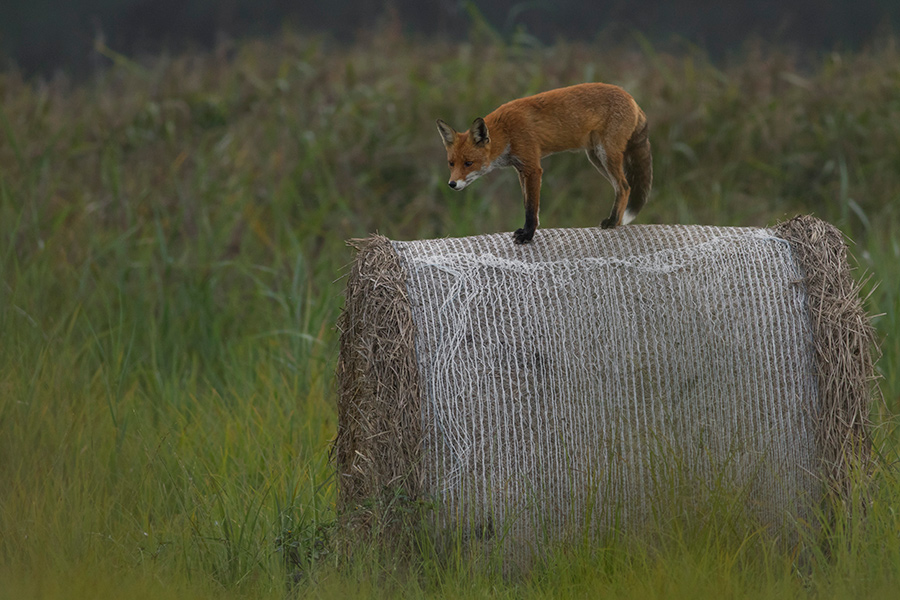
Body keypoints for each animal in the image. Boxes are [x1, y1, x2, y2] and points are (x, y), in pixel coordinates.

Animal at [434, 82, 652, 244]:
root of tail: (632, 98)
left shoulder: (533, 168)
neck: (507, 131)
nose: (452, 184)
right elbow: (527, 205)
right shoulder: (521, 170)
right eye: (451, 163)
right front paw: (526, 232)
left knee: (624, 186)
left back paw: (613, 221)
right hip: (596, 158)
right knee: (623, 187)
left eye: (469, 163)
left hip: (606, 155)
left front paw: (527, 236)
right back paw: (616, 223)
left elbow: (532, 208)